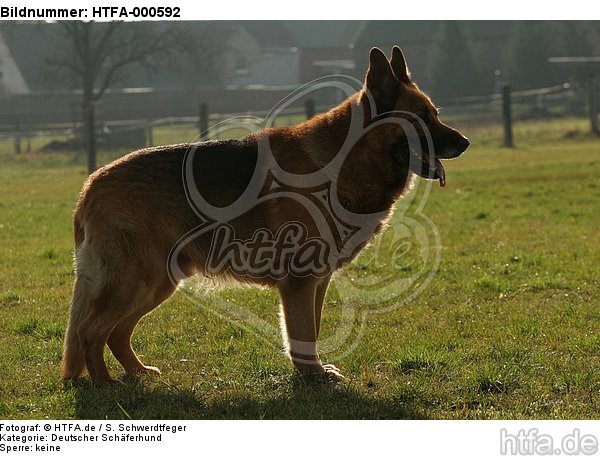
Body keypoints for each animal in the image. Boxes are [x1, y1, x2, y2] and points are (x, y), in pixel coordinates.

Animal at [61, 47, 468, 384]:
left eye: (436, 115)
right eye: (422, 118)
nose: (465, 143)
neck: (345, 159)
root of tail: (90, 185)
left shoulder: (317, 282)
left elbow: (311, 330)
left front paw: (310, 372)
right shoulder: (301, 282)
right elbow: (303, 332)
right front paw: (313, 376)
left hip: (158, 282)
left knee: (115, 332)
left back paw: (138, 373)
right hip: (139, 280)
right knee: (90, 331)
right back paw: (105, 386)